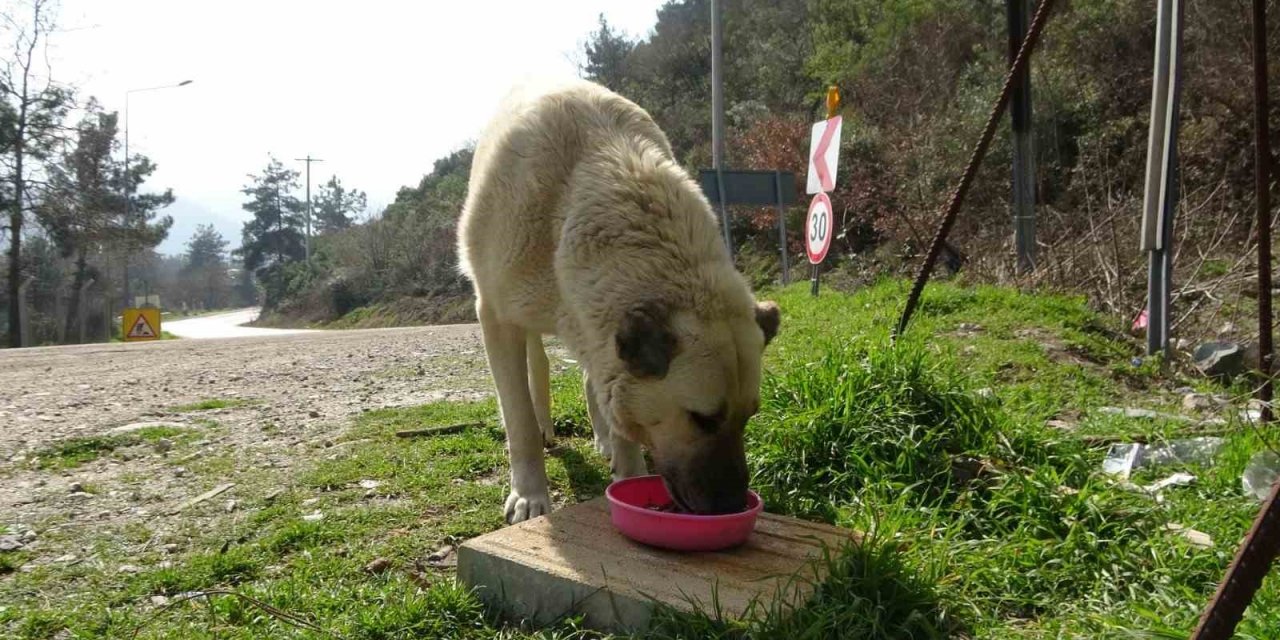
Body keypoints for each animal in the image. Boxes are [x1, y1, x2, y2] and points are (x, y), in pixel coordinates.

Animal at [460, 80, 778, 522]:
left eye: (749, 415)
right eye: (702, 420)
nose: (731, 506)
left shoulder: (599, 332)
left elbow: (618, 406)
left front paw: (627, 471)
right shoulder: (494, 316)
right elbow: (517, 418)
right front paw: (529, 494)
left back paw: (605, 440)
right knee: (537, 367)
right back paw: (546, 428)